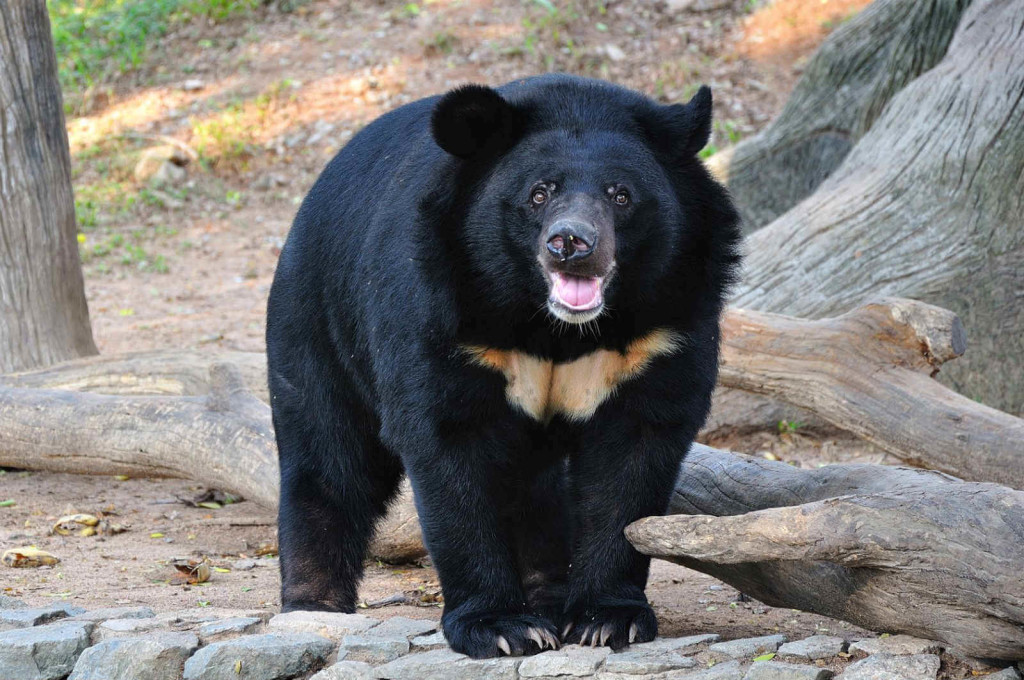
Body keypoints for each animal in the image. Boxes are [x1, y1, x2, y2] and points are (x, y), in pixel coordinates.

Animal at [268, 73, 741, 659]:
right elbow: (449, 447)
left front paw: (606, 619)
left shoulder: (663, 329)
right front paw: (499, 627)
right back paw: (314, 605)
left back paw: (548, 597)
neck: (555, 327)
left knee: (538, 492)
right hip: (317, 318)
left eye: (621, 194)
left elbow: (632, 459)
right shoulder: (442, 311)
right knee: (329, 456)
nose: (571, 244)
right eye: (539, 193)